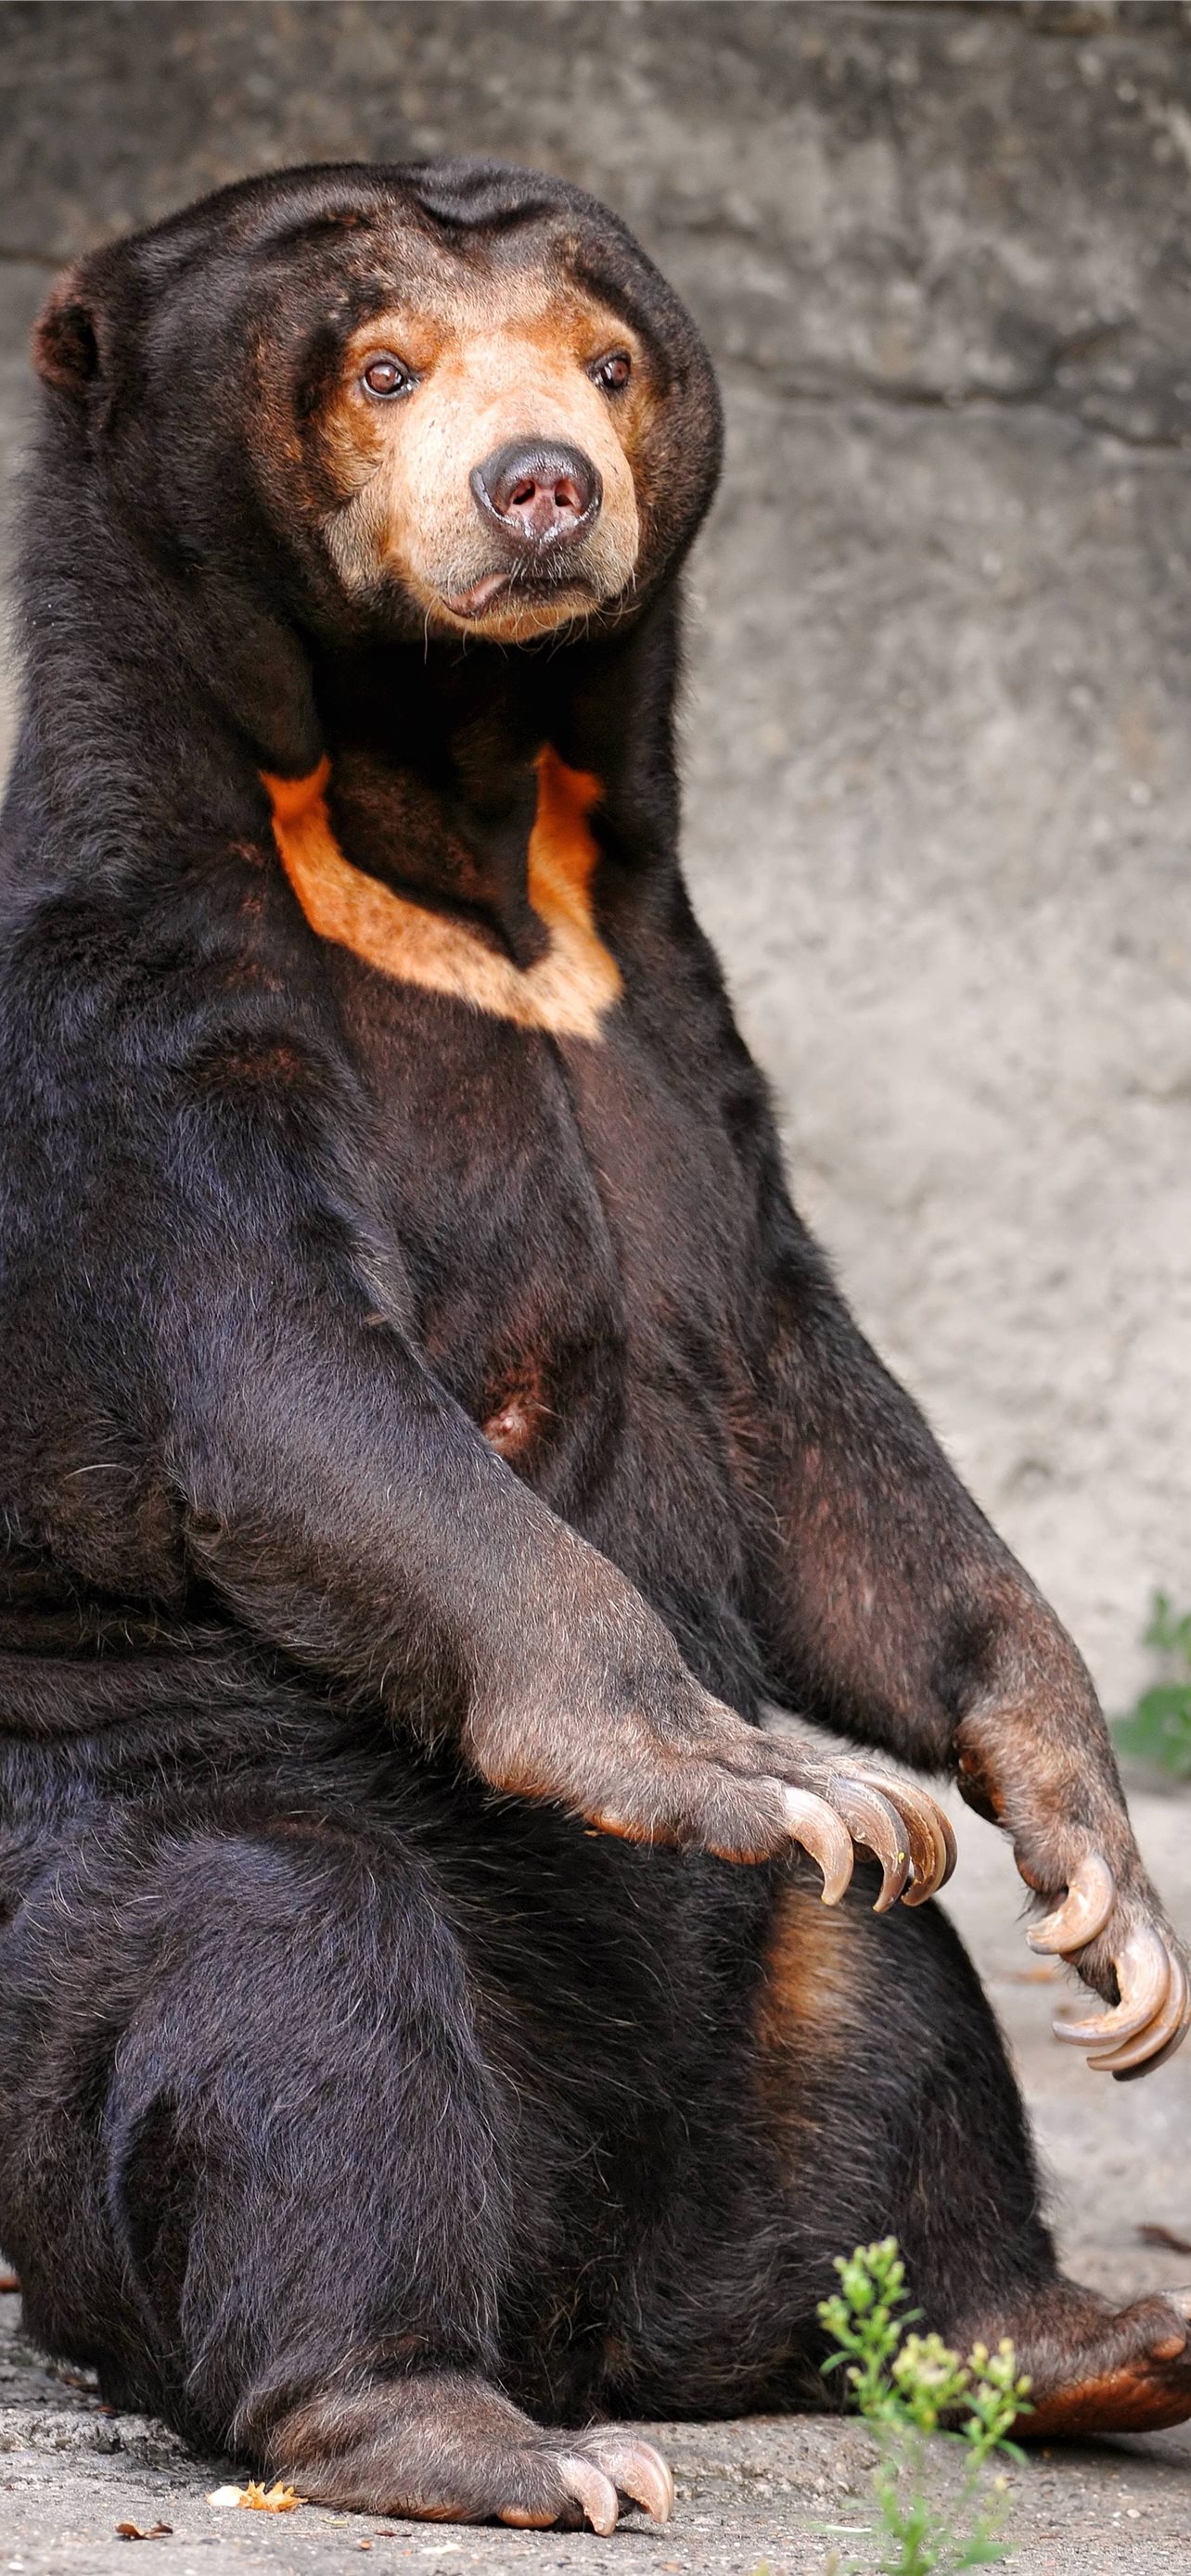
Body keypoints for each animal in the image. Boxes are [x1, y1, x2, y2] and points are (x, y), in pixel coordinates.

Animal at [0, 158, 1188, 2528]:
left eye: (608, 358)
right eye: (382, 364)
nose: (541, 482)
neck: (441, 821)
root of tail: (593, 2295)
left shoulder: (661, 1005)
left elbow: (808, 1411)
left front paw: (1102, 1883)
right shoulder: (132, 1010)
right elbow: (285, 1378)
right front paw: (746, 1761)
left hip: (772, 2022)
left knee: (892, 1996)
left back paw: (1062, 2330)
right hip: (148, 1862)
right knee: (298, 1998)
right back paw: (473, 2430)